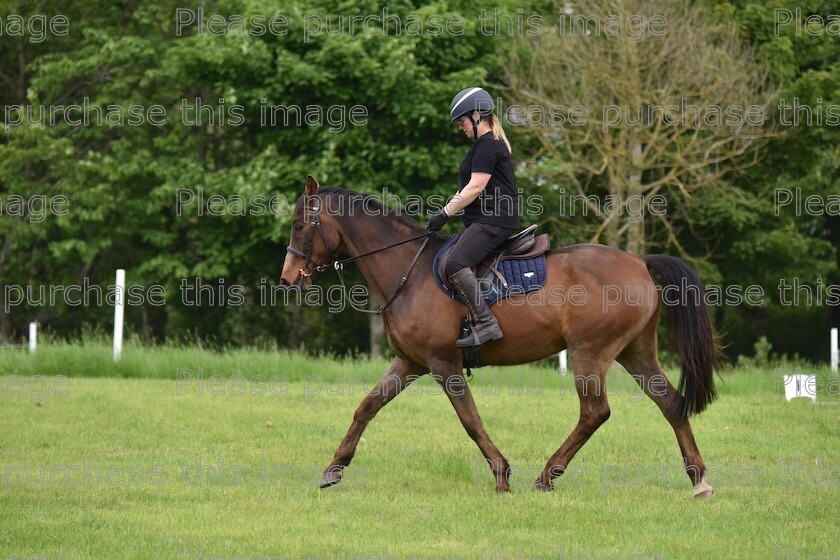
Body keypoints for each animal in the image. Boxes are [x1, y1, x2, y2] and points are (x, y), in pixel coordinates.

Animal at [280, 176, 720, 498]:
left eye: (300, 226)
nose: (287, 280)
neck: (409, 272)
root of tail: (639, 262)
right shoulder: (410, 363)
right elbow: (366, 407)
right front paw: (333, 470)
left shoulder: (443, 364)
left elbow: (470, 420)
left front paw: (501, 475)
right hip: (635, 352)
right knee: (671, 404)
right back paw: (698, 480)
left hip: (589, 353)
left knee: (595, 412)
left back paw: (546, 476)